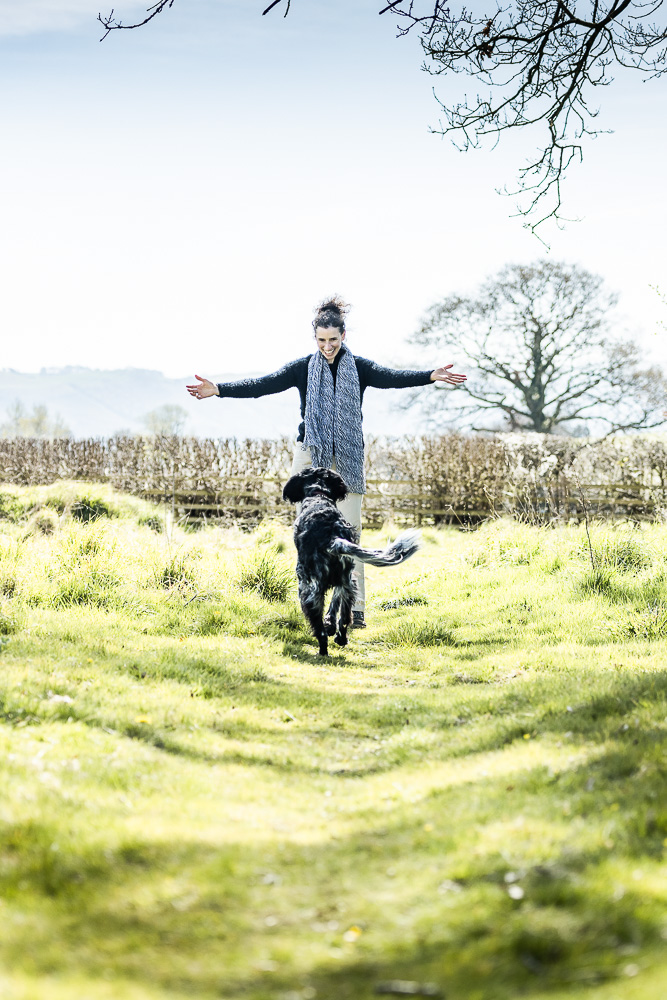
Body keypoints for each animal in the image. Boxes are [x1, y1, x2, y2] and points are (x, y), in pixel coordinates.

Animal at [284, 466, 420, 656]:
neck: (319, 495)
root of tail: (332, 538)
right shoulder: (343, 582)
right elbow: (335, 608)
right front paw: (331, 625)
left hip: (309, 587)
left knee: (319, 627)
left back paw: (322, 651)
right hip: (348, 584)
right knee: (344, 618)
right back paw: (341, 638)